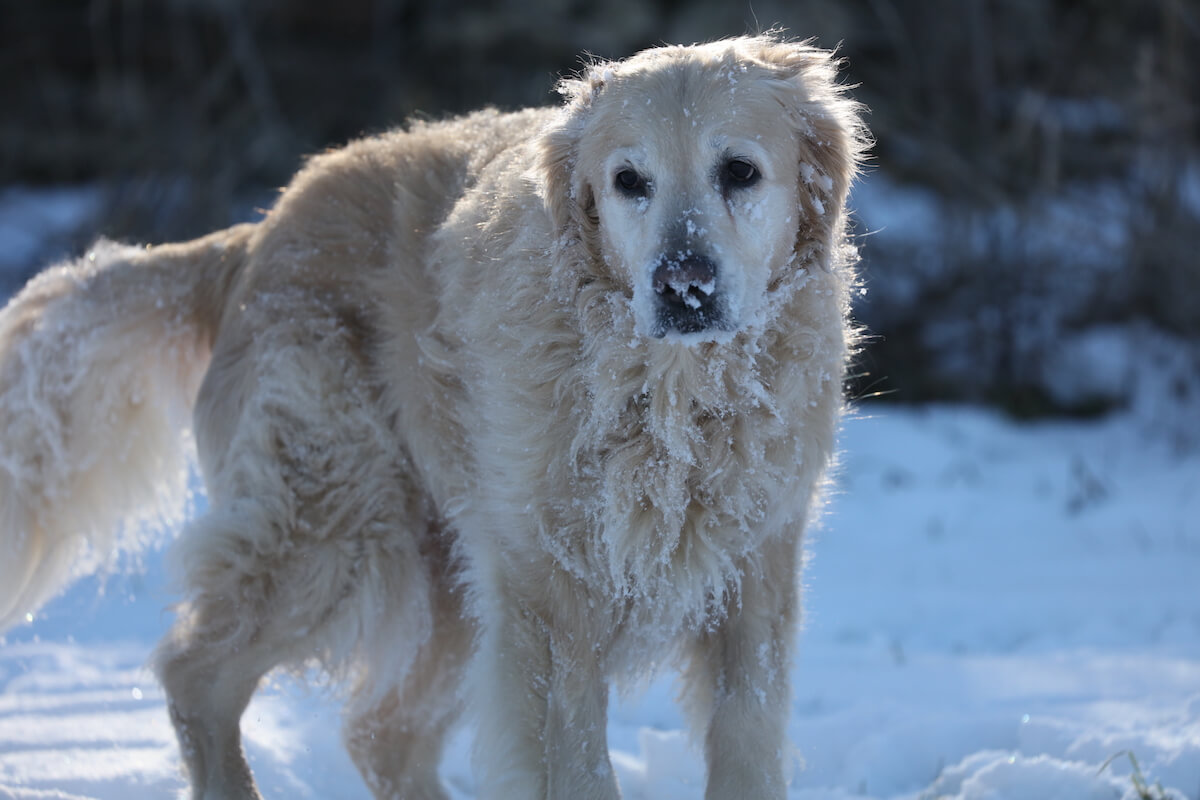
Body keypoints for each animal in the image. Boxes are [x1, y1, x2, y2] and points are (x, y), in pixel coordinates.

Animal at [0, 32, 864, 800]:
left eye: (740, 171)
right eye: (630, 181)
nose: (682, 284)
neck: (672, 394)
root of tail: (256, 236)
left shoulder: (756, 578)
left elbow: (746, 743)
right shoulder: (549, 598)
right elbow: (580, 764)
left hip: (445, 577)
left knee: (378, 734)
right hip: (332, 525)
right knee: (196, 676)